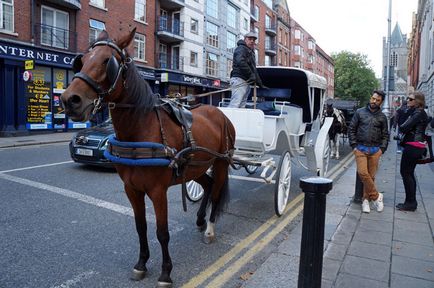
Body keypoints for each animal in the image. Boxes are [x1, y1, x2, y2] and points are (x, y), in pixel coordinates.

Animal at [59, 28, 236, 288]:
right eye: (83, 59)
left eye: (107, 61)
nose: (70, 100)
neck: (141, 127)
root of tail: (219, 112)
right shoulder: (132, 189)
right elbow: (141, 227)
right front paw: (141, 264)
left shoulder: (157, 191)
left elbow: (162, 232)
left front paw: (165, 272)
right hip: (196, 167)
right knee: (208, 185)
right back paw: (200, 220)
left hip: (221, 161)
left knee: (215, 191)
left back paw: (210, 229)